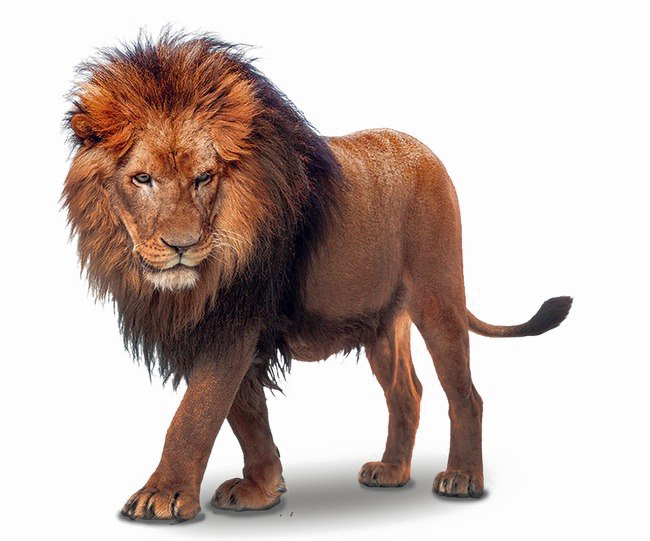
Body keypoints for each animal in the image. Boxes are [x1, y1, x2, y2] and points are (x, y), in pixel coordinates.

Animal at [63, 32, 572, 521]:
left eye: (203, 178)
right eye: (142, 179)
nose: (181, 246)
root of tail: (425, 151)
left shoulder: (235, 320)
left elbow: (196, 413)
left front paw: (163, 495)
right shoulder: (221, 327)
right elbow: (246, 415)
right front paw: (262, 490)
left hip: (438, 294)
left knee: (466, 394)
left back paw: (463, 478)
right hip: (381, 323)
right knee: (407, 392)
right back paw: (391, 471)